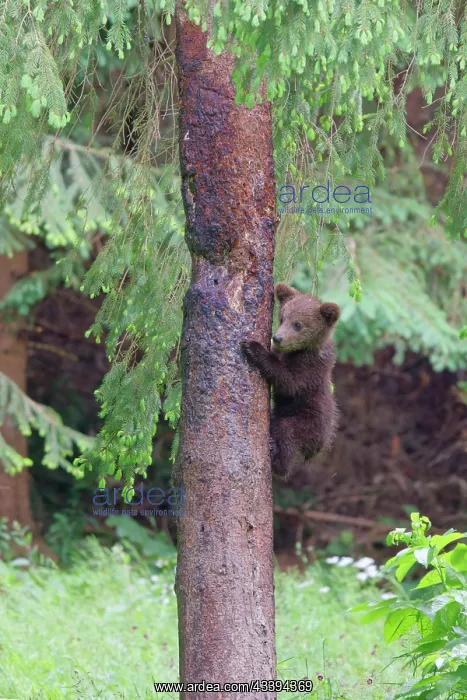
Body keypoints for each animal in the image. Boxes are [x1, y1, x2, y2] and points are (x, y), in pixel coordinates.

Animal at [241, 283, 340, 478]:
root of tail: (321, 446)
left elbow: (290, 383)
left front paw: (254, 348)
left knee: (287, 433)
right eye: (282, 318)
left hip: (308, 421)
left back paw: (277, 460)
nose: (277, 338)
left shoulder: (311, 369)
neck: (300, 351)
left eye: (298, 324)